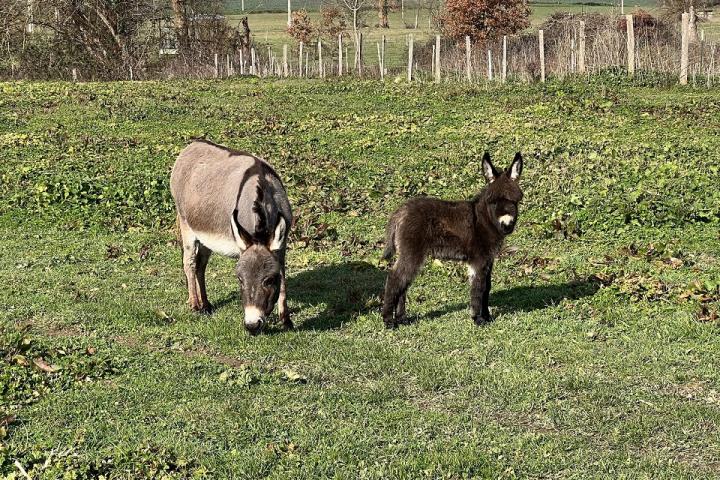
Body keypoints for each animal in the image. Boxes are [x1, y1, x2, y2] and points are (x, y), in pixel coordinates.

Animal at [382, 152, 524, 328]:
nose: (507, 225)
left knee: (403, 282)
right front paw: (478, 319)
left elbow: (487, 287)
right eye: (494, 201)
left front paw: (487, 316)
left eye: (515, 201)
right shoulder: (479, 259)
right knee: (395, 279)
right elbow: (478, 287)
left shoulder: (489, 259)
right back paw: (388, 321)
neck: (484, 220)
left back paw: (402, 319)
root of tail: (400, 211)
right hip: (412, 252)